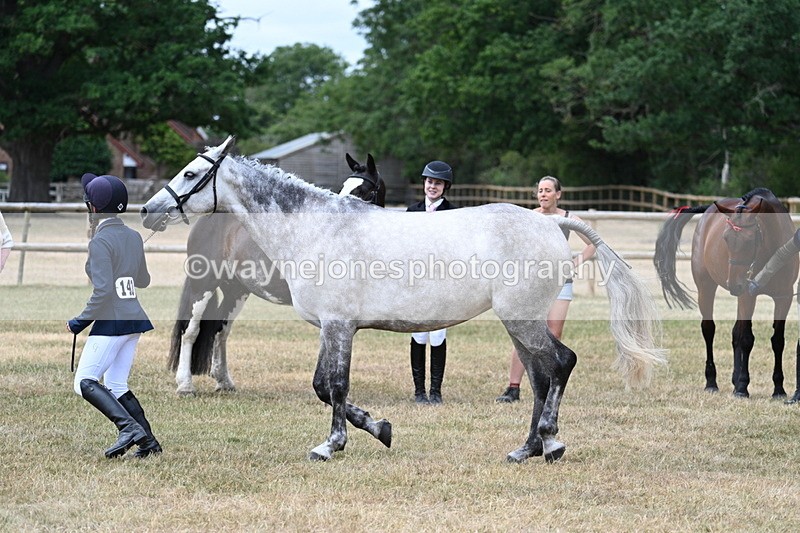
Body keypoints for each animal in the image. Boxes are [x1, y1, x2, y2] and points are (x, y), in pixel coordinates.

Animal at [169, 153, 385, 395]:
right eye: (344, 188)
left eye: (364, 191)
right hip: (203, 285)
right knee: (190, 331)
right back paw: (185, 385)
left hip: (236, 292)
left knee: (221, 330)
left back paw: (224, 381)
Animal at [653, 188, 799, 398]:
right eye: (726, 238)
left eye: (750, 240)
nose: (735, 284)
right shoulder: (748, 296)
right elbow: (746, 339)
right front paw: (743, 387)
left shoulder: (784, 297)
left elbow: (777, 340)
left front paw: (778, 389)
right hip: (706, 288)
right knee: (709, 330)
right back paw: (712, 382)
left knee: (735, 332)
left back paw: (734, 379)